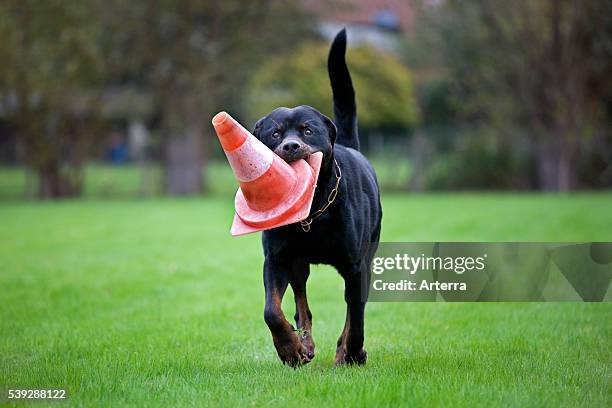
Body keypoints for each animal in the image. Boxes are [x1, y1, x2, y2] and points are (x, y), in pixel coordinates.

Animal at [251, 29, 380, 366]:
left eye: (307, 130)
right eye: (275, 133)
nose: (291, 146)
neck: (312, 209)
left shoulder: (355, 266)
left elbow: (356, 317)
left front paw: (353, 352)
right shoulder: (277, 259)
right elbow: (272, 310)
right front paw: (289, 349)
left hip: (368, 256)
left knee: (352, 307)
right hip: (299, 263)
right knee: (301, 299)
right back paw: (305, 344)